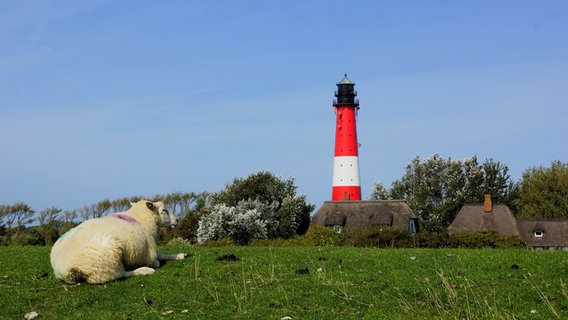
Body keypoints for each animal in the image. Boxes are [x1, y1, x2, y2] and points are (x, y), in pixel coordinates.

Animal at [49, 199, 185, 284]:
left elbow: (162, 255)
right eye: (164, 210)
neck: (140, 219)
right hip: (107, 262)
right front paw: (158, 263)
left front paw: (180, 255)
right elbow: (157, 259)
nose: (177, 220)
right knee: (120, 274)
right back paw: (145, 270)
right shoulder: (149, 252)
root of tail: (64, 270)